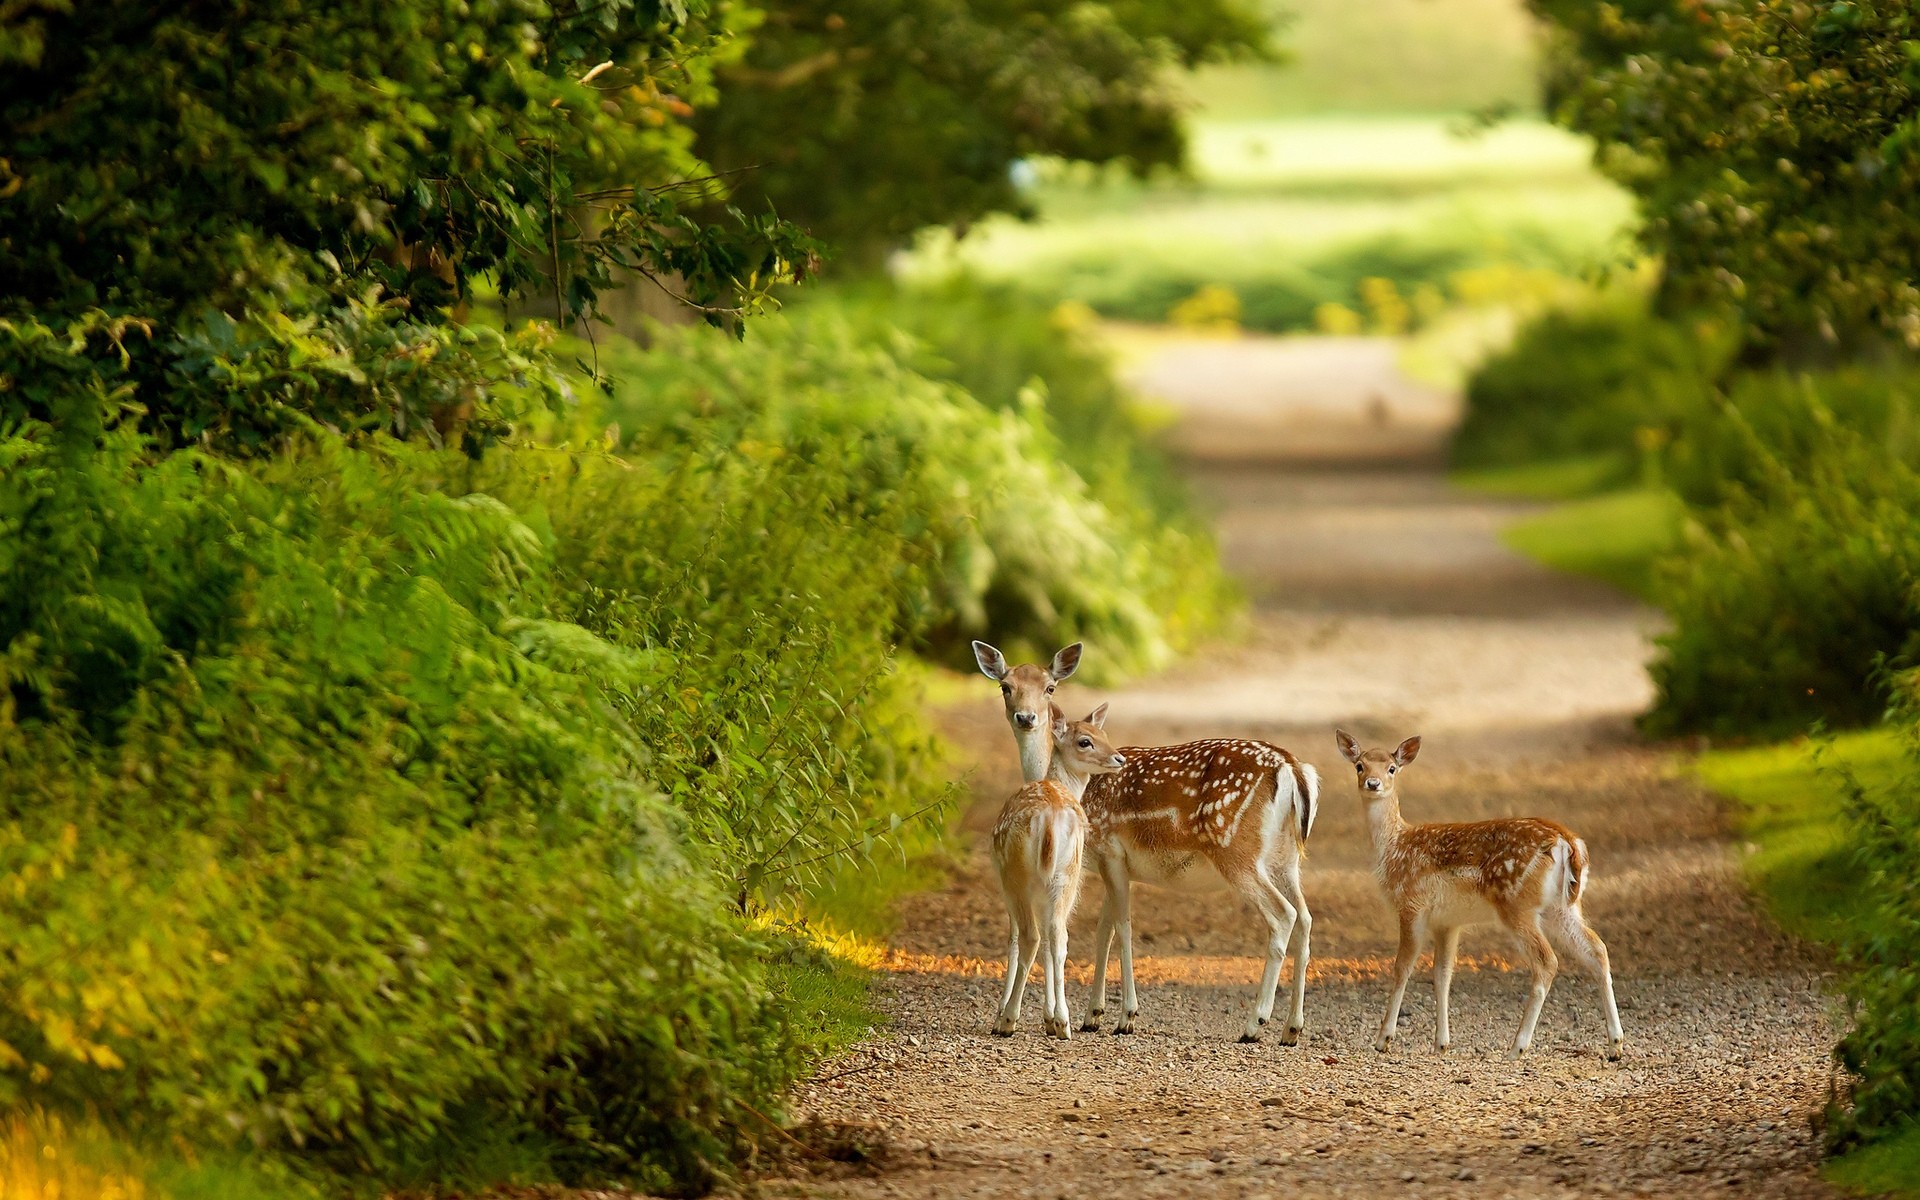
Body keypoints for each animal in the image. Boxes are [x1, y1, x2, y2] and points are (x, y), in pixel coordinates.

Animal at [990, 706, 1121, 1036]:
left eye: (1105, 734)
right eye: (1086, 740)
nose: (1119, 758)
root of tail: (1048, 819)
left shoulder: (1007, 882)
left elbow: (1013, 940)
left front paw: (1004, 1015)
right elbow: (1052, 943)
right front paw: (1049, 1018)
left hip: (1018, 876)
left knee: (1030, 937)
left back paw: (1009, 1019)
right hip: (1067, 875)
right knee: (1058, 937)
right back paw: (1063, 1022)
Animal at [1344, 725, 1628, 1059]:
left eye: (1391, 767)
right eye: (1359, 765)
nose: (1373, 784)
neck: (1393, 847)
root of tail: (1568, 843)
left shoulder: (1411, 904)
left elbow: (1402, 967)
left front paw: (1383, 1039)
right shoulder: (1447, 921)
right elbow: (1442, 974)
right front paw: (1442, 1043)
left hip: (1516, 904)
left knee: (1547, 961)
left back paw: (1517, 1047)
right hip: (1563, 907)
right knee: (1597, 950)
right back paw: (1615, 1044)